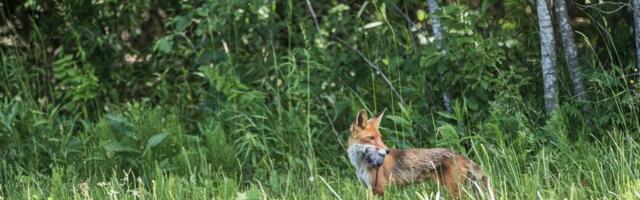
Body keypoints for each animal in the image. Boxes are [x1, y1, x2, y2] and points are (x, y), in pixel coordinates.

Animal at [350, 110, 496, 199]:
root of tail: (460, 156)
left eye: (380, 138)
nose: (387, 151)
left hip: (453, 191)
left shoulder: (380, 189)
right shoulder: (369, 189)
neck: (361, 165)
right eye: (371, 138)